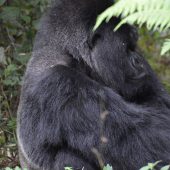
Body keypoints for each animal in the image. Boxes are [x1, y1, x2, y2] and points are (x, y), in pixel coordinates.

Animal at [17, 0, 170, 169]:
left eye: (133, 46)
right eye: (125, 46)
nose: (138, 60)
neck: (71, 55)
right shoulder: (61, 83)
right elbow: (151, 143)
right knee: (67, 157)